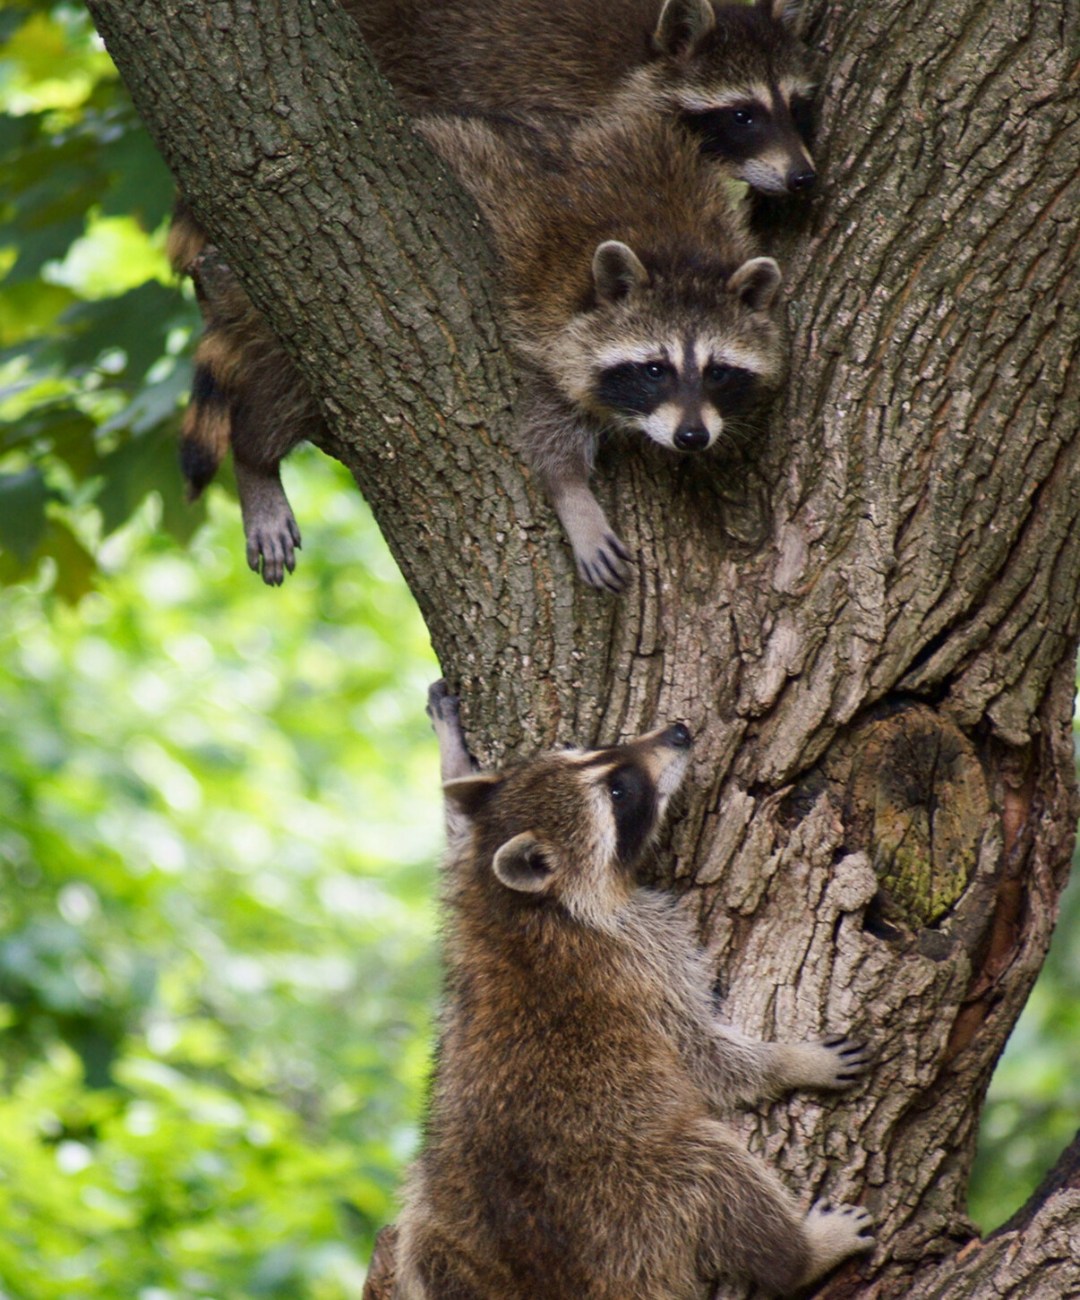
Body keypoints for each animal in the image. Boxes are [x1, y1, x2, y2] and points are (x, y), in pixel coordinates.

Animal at [395, 680, 876, 1300]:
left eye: (588, 748)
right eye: (619, 792)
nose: (678, 731)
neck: (527, 907)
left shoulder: (469, 882)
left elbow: (457, 821)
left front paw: (454, 755)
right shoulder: (639, 958)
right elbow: (702, 1054)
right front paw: (791, 1061)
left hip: (445, 1229)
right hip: (639, 1200)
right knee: (714, 1172)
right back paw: (800, 1254)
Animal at [419, 107, 786, 589]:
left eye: (718, 372)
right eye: (655, 370)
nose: (691, 437)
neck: (681, 260)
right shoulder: (546, 315)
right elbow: (550, 417)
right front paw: (572, 495)